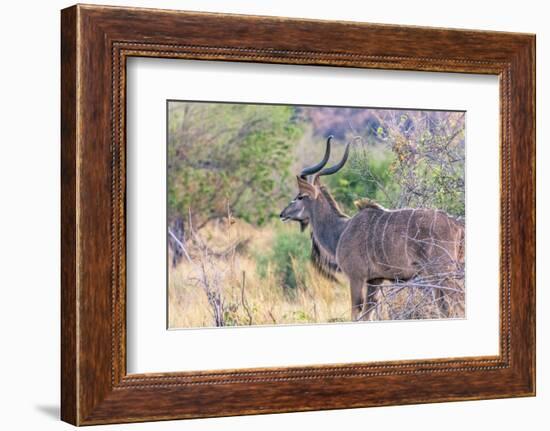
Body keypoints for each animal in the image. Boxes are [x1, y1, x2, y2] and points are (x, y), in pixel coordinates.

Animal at [280, 137, 466, 322]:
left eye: (300, 196)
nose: (282, 214)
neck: (342, 230)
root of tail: (456, 224)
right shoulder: (375, 280)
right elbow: (368, 312)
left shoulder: (356, 277)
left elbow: (356, 312)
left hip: (442, 272)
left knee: (459, 299)